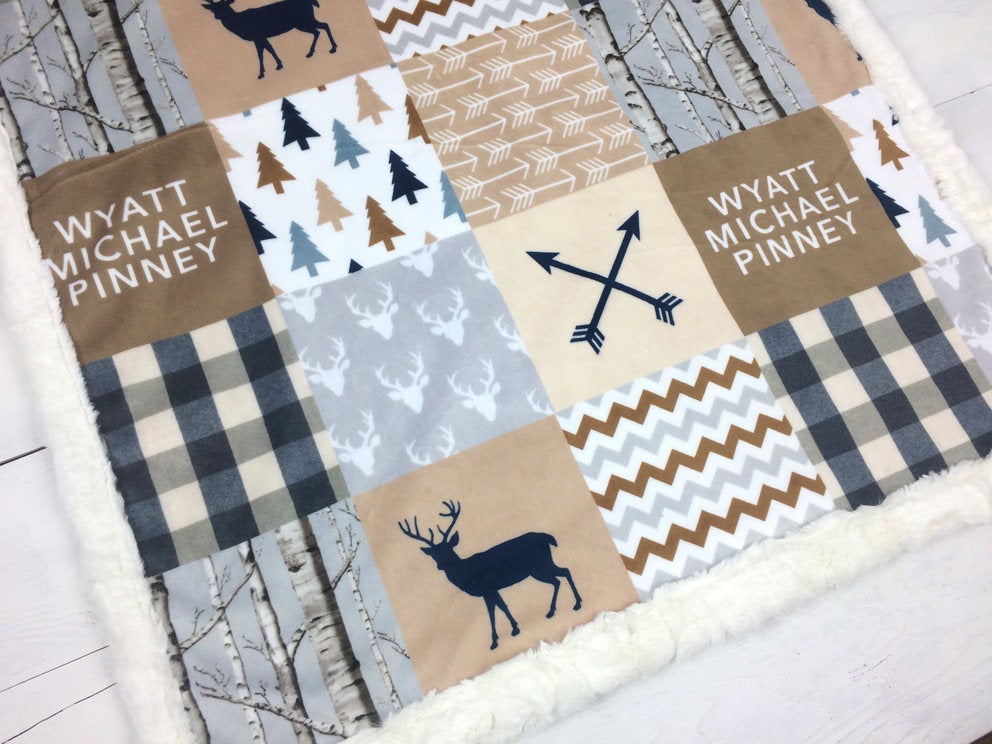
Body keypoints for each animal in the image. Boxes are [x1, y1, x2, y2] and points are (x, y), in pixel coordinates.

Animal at [201, 0, 337, 80]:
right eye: (213, 8)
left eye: (224, 6)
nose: (217, 16)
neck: (241, 24)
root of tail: (312, 2)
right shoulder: (260, 37)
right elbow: (266, 51)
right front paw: (274, 66)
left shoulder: (258, 35)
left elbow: (263, 52)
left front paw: (266, 71)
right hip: (303, 21)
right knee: (320, 29)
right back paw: (313, 52)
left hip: (303, 20)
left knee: (322, 27)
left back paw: (332, 48)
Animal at [398, 501, 582, 650]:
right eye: (434, 554)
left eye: (449, 550)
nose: (440, 565)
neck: (467, 573)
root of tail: (548, 537)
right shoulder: (492, 589)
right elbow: (501, 607)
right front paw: (513, 629)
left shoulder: (487, 587)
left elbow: (493, 611)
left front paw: (497, 640)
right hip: (540, 567)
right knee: (560, 576)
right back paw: (556, 609)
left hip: (538, 566)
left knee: (562, 574)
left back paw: (575, 604)